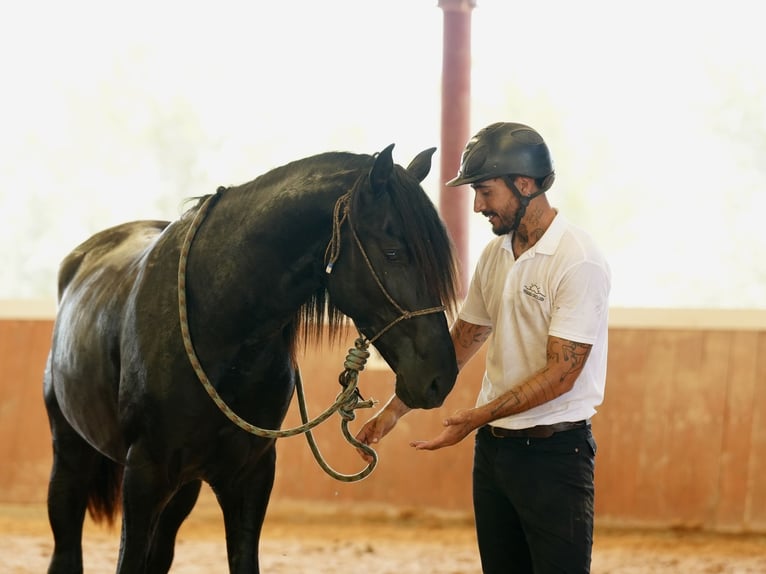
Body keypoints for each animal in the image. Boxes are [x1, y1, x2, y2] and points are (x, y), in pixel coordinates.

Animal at [42, 144, 460, 572]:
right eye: (393, 253)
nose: (441, 377)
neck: (219, 326)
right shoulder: (144, 475)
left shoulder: (250, 478)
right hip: (71, 456)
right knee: (66, 545)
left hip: (182, 489)